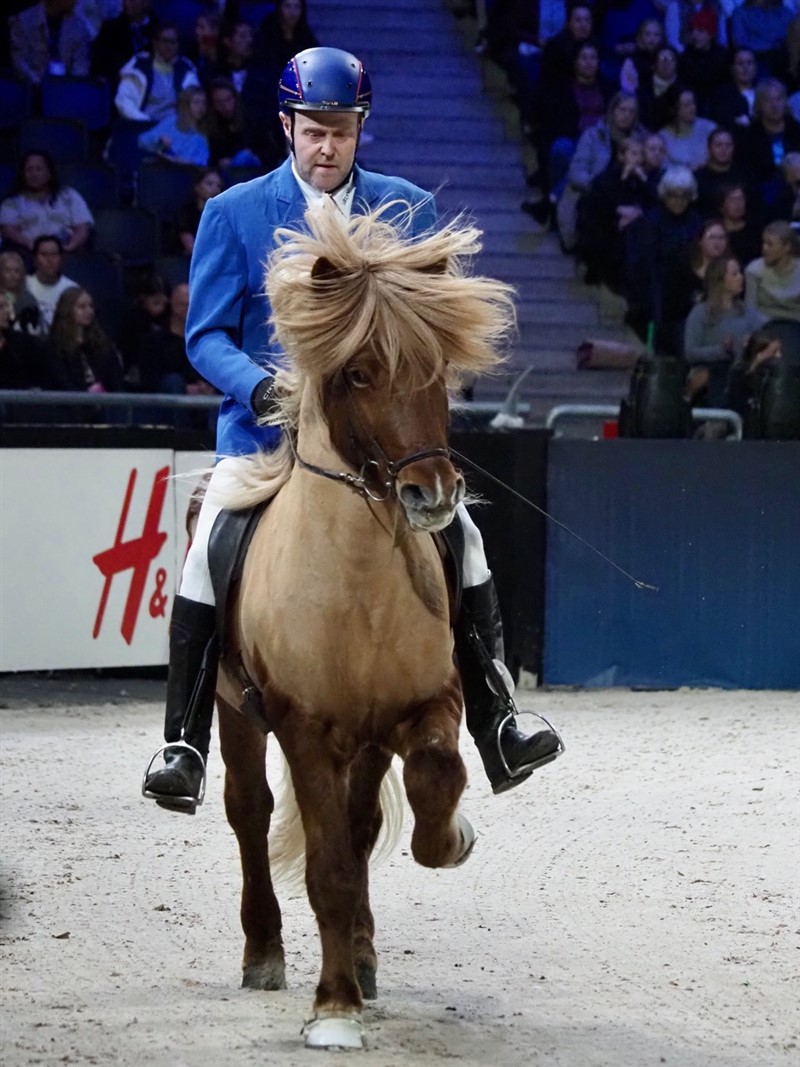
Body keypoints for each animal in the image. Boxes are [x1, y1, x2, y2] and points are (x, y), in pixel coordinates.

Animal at [211, 201, 514, 1049]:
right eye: (357, 373)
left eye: (439, 372)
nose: (432, 495)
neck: (355, 585)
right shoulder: (304, 727)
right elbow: (329, 867)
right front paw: (335, 1008)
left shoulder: (427, 702)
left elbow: (432, 782)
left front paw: (453, 840)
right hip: (234, 712)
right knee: (251, 811)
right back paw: (265, 951)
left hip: (370, 736)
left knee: (364, 814)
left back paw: (367, 951)